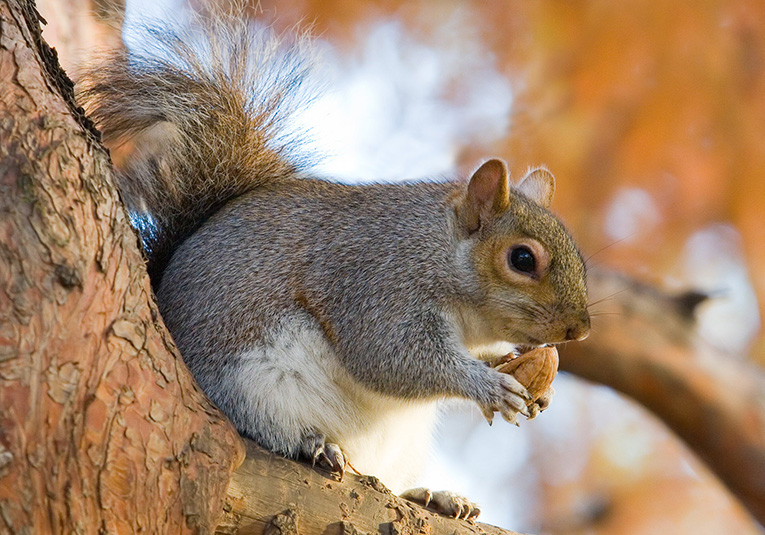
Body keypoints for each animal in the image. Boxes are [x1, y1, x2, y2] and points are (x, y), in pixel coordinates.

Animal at [76, 7, 592, 520]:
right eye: (522, 259)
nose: (580, 329)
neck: (439, 255)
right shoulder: (376, 281)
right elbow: (390, 357)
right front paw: (487, 385)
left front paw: (523, 377)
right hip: (250, 385)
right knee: (264, 426)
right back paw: (313, 444)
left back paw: (433, 496)